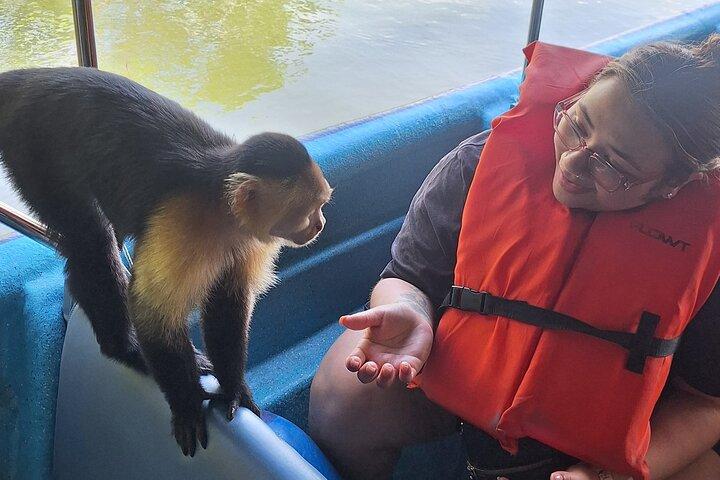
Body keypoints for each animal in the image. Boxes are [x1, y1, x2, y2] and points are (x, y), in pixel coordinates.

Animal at [0, 67, 332, 456]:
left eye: (321, 205)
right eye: (309, 210)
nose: (320, 224)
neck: (223, 210)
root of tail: (30, 77)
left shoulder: (250, 239)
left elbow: (228, 304)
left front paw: (232, 387)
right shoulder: (182, 222)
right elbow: (153, 311)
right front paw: (187, 403)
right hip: (33, 144)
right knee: (91, 239)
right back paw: (124, 347)